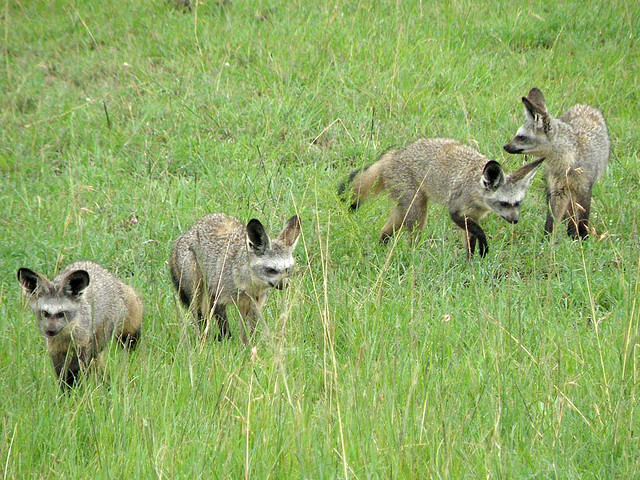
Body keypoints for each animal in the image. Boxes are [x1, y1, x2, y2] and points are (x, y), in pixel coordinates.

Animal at [17, 261, 143, 390]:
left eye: (61, 314)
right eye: (44, 313)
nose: (50, 331)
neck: (65, 335)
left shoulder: (83, 344)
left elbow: (74, 369)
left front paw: (74, 389)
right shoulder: (55, 349)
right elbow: (61, 374)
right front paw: (65, 391)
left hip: (100, 339)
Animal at [169, 213, 301, 343]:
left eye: (287, 270)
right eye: (271, 270)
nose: (285, 285)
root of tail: (185, 234)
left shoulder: (253, 304)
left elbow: (249, 331)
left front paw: (249, 346)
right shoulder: (218, 296)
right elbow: (224, 326)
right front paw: (227, 341)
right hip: (197, 292)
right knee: (199, 318)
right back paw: (202, 339)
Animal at [338, 138, 544, 257]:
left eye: (518, 203)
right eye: (504, 203)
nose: (515, 220)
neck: (475, 190)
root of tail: (394, 155)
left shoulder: (473, 216)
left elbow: (470, 240)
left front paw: (472, 263)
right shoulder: (456, 211)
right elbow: (478, 232)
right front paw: (482, 248)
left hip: (403, 211)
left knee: (384, 232)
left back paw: (382, 250)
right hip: (417, 211)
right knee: (411, 238)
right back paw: (413, 257)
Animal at [504, 88, 610, 239]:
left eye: (521, 137)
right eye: (516, 135)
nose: (505, 146)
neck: (567, 162)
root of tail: (584, 106)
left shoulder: (584, 189)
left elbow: (582, 221)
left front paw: (582, 240)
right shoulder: (557, 191)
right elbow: (551, 223)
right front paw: (546, 241)